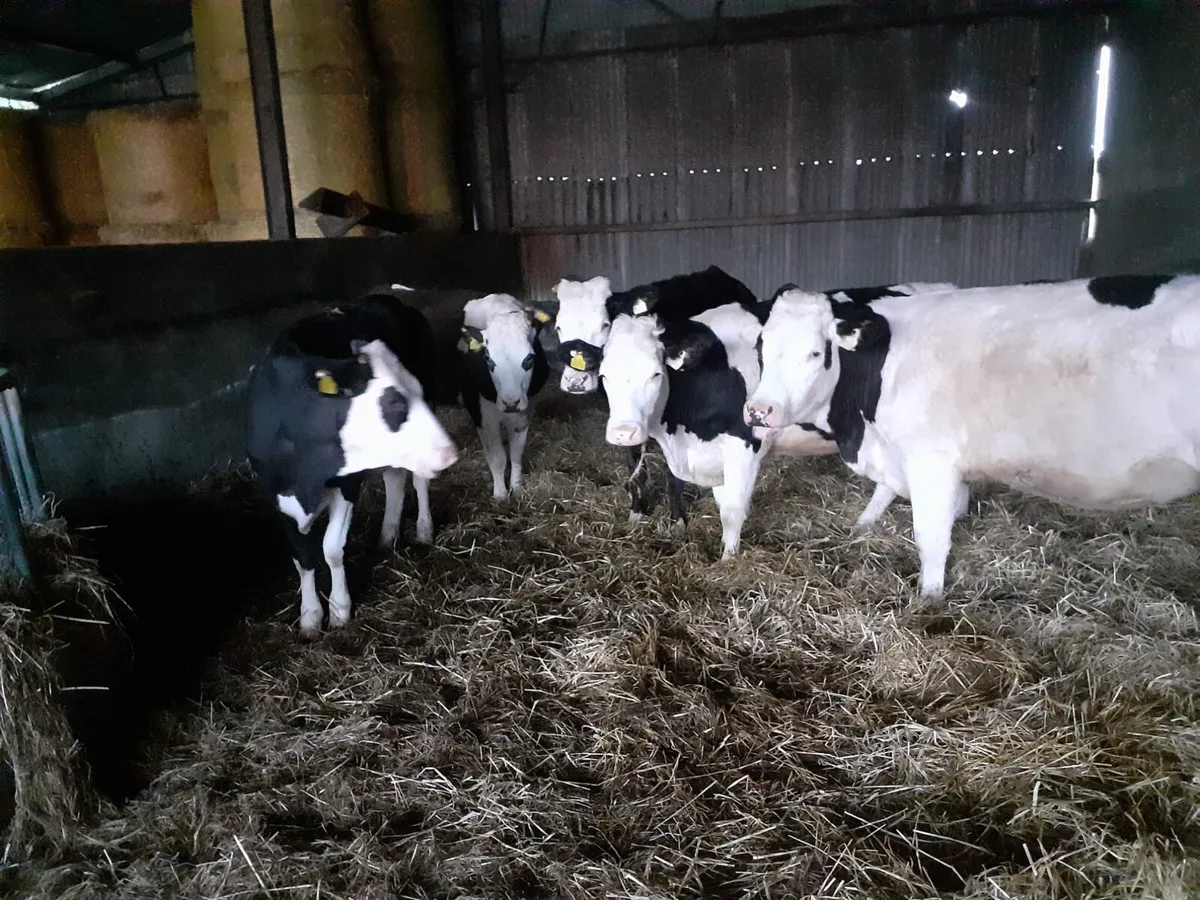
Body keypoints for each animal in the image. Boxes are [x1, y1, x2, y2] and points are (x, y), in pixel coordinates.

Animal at [246, 291, 459, 638]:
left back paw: (423, 530)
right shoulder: (275, 494)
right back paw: (387, 535)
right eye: (393, 402)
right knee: (394, 477)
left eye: (416, 391)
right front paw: (309, 617)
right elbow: (302, 557)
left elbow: (332, 548)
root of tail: (384, 296)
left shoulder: (348, 481)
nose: (449, 452)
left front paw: (339, 610)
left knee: (416, 480)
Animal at [455, 293, 551, 500]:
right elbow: (498, 457)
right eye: (488, 359)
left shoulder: (525, 411)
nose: (510, 402)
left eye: (529, 358)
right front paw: (500, 495)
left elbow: (516, 453)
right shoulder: (481, 415)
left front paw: (517, 488)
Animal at [531, 265, 759, 525]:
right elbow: (635, 469)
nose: (576, 382)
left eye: (605, 324)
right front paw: (636, 511)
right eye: (559, 327)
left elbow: (674, 476)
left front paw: (677, 519)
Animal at [599, 301, 840, 559]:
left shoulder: (744, 445)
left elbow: (732, 510)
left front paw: (728, 560)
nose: (623, 433)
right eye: (604, 375)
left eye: (656, 374)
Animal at [744, 274, 1200, 598]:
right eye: (761, 346)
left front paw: (928, 600)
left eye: (816, 352)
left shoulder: (930, 460)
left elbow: (931, 539)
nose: (759, 410)